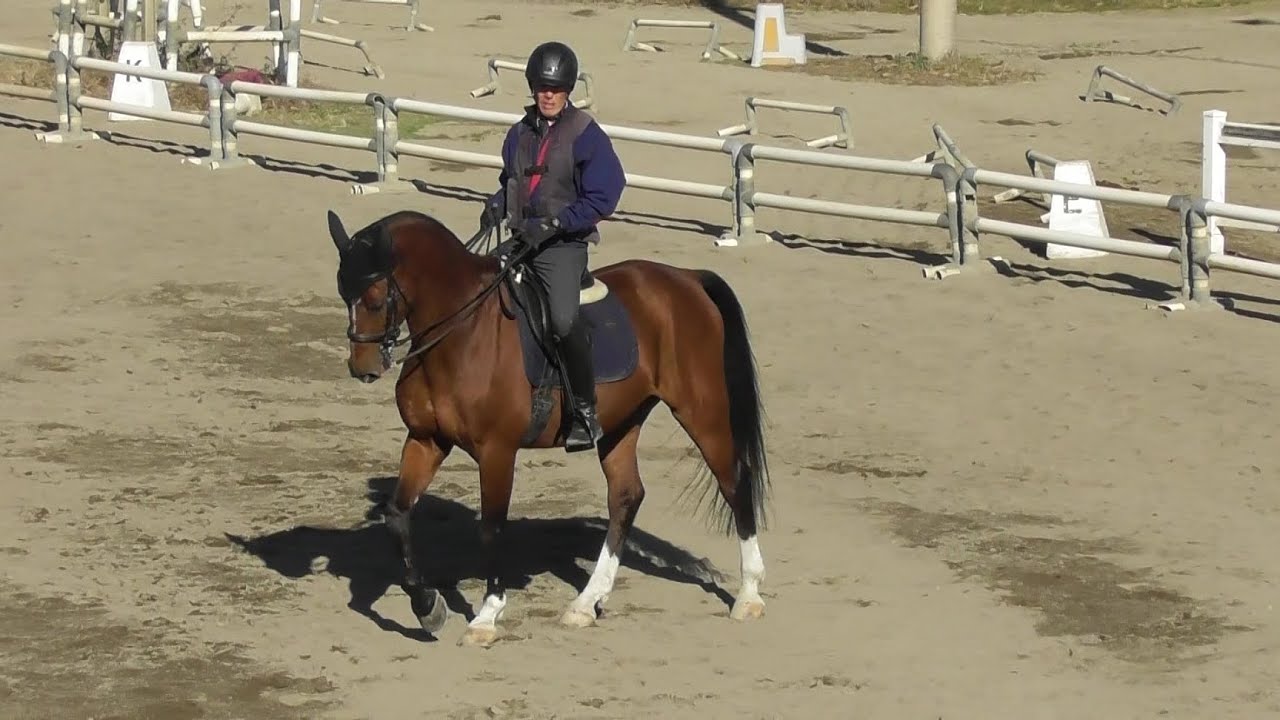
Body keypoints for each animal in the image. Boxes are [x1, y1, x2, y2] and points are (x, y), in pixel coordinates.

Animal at [325, 208, 771, 647]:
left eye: (375, 297)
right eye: (343, 293)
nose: (362, 368)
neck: (462, 332)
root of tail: (687, 279)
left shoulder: (496, 451)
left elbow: (492, 528)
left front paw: (486, 616)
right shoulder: (426, 440)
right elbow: (397, 516)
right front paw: (428, 607)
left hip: (701, 412)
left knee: (735, 482)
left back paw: (749, 595)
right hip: (620, 422)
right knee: (626, 496)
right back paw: (586, 603)